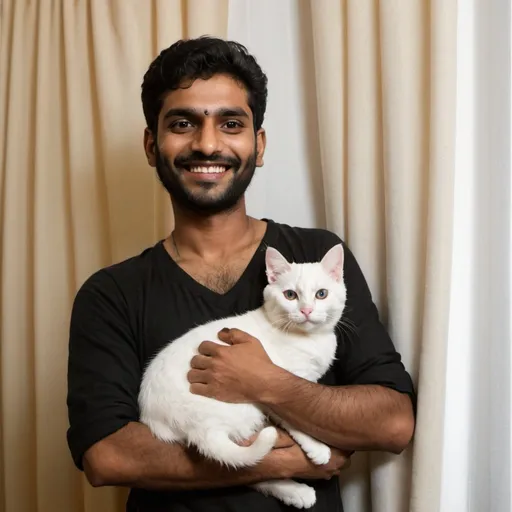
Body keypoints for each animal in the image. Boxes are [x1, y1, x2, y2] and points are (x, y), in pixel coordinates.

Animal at [139, 244, 348, 508]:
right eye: (290, 295)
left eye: (321, 294)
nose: (306, 310)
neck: (307, 338)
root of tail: (199, 426)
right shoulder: (280, 386)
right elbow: (294, 418)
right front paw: (316, 448)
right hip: (249, 407)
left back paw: (295, 493)